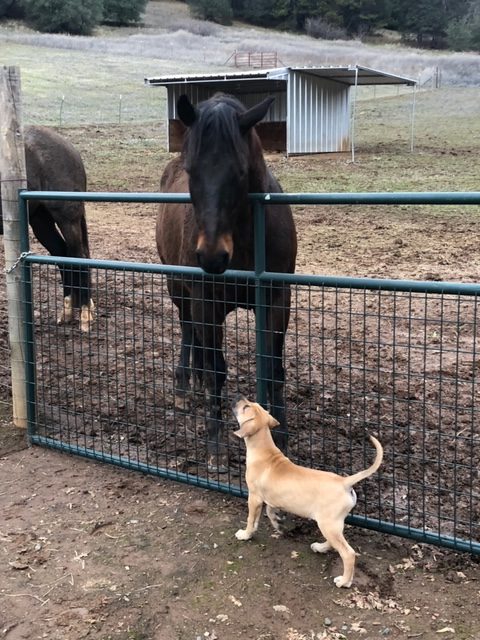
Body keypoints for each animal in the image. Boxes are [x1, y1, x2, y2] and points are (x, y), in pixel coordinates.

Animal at [0, 127, 94, 332]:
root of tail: (70, 148)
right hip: (41, 222)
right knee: (63, 255)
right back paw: (67, 311)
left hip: (67, 219)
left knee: (79, 257)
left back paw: (85, 315)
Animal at [158, 91, 298, 470]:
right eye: (192, 170)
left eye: (239, 171)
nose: (212, 257)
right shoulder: (206, 302)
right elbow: (217, 371)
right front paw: (215, 447)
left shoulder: (276, 300)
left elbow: (273, 369)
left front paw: (280, 435)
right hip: (180, 291)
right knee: (188, 332)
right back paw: (182, 388)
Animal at [232, 396, 382, 592]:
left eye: (246, 407)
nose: (239, 398)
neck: (264, 451)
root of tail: (344, 482)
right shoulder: (271, 498)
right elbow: (270, 511)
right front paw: (278, 524)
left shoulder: (254, 497)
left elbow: (251, 519)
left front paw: (246, 534)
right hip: (333, 522)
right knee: (335, 542)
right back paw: (320, 547)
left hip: (328, 524)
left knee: (348, 553)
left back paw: (344, 581)